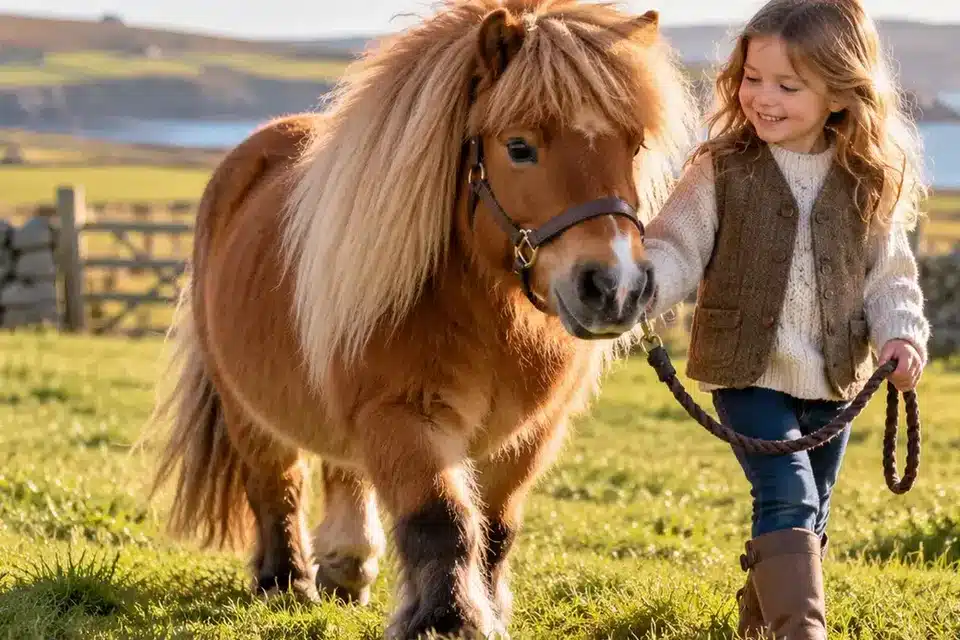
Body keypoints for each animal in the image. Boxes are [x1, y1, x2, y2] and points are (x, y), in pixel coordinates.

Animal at [144, 1, 697, 637]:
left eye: (632, 147)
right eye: (519, 146)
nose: (615, 287)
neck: (489, 318)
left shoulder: (529, 435)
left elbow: (497, 529)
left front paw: (489, 609)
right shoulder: (405, 416)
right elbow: (442, 519)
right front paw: (447, 619)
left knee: (343, 471)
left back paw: (347, 566)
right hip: (245, 405)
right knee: (277, 483)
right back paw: (284, 581)